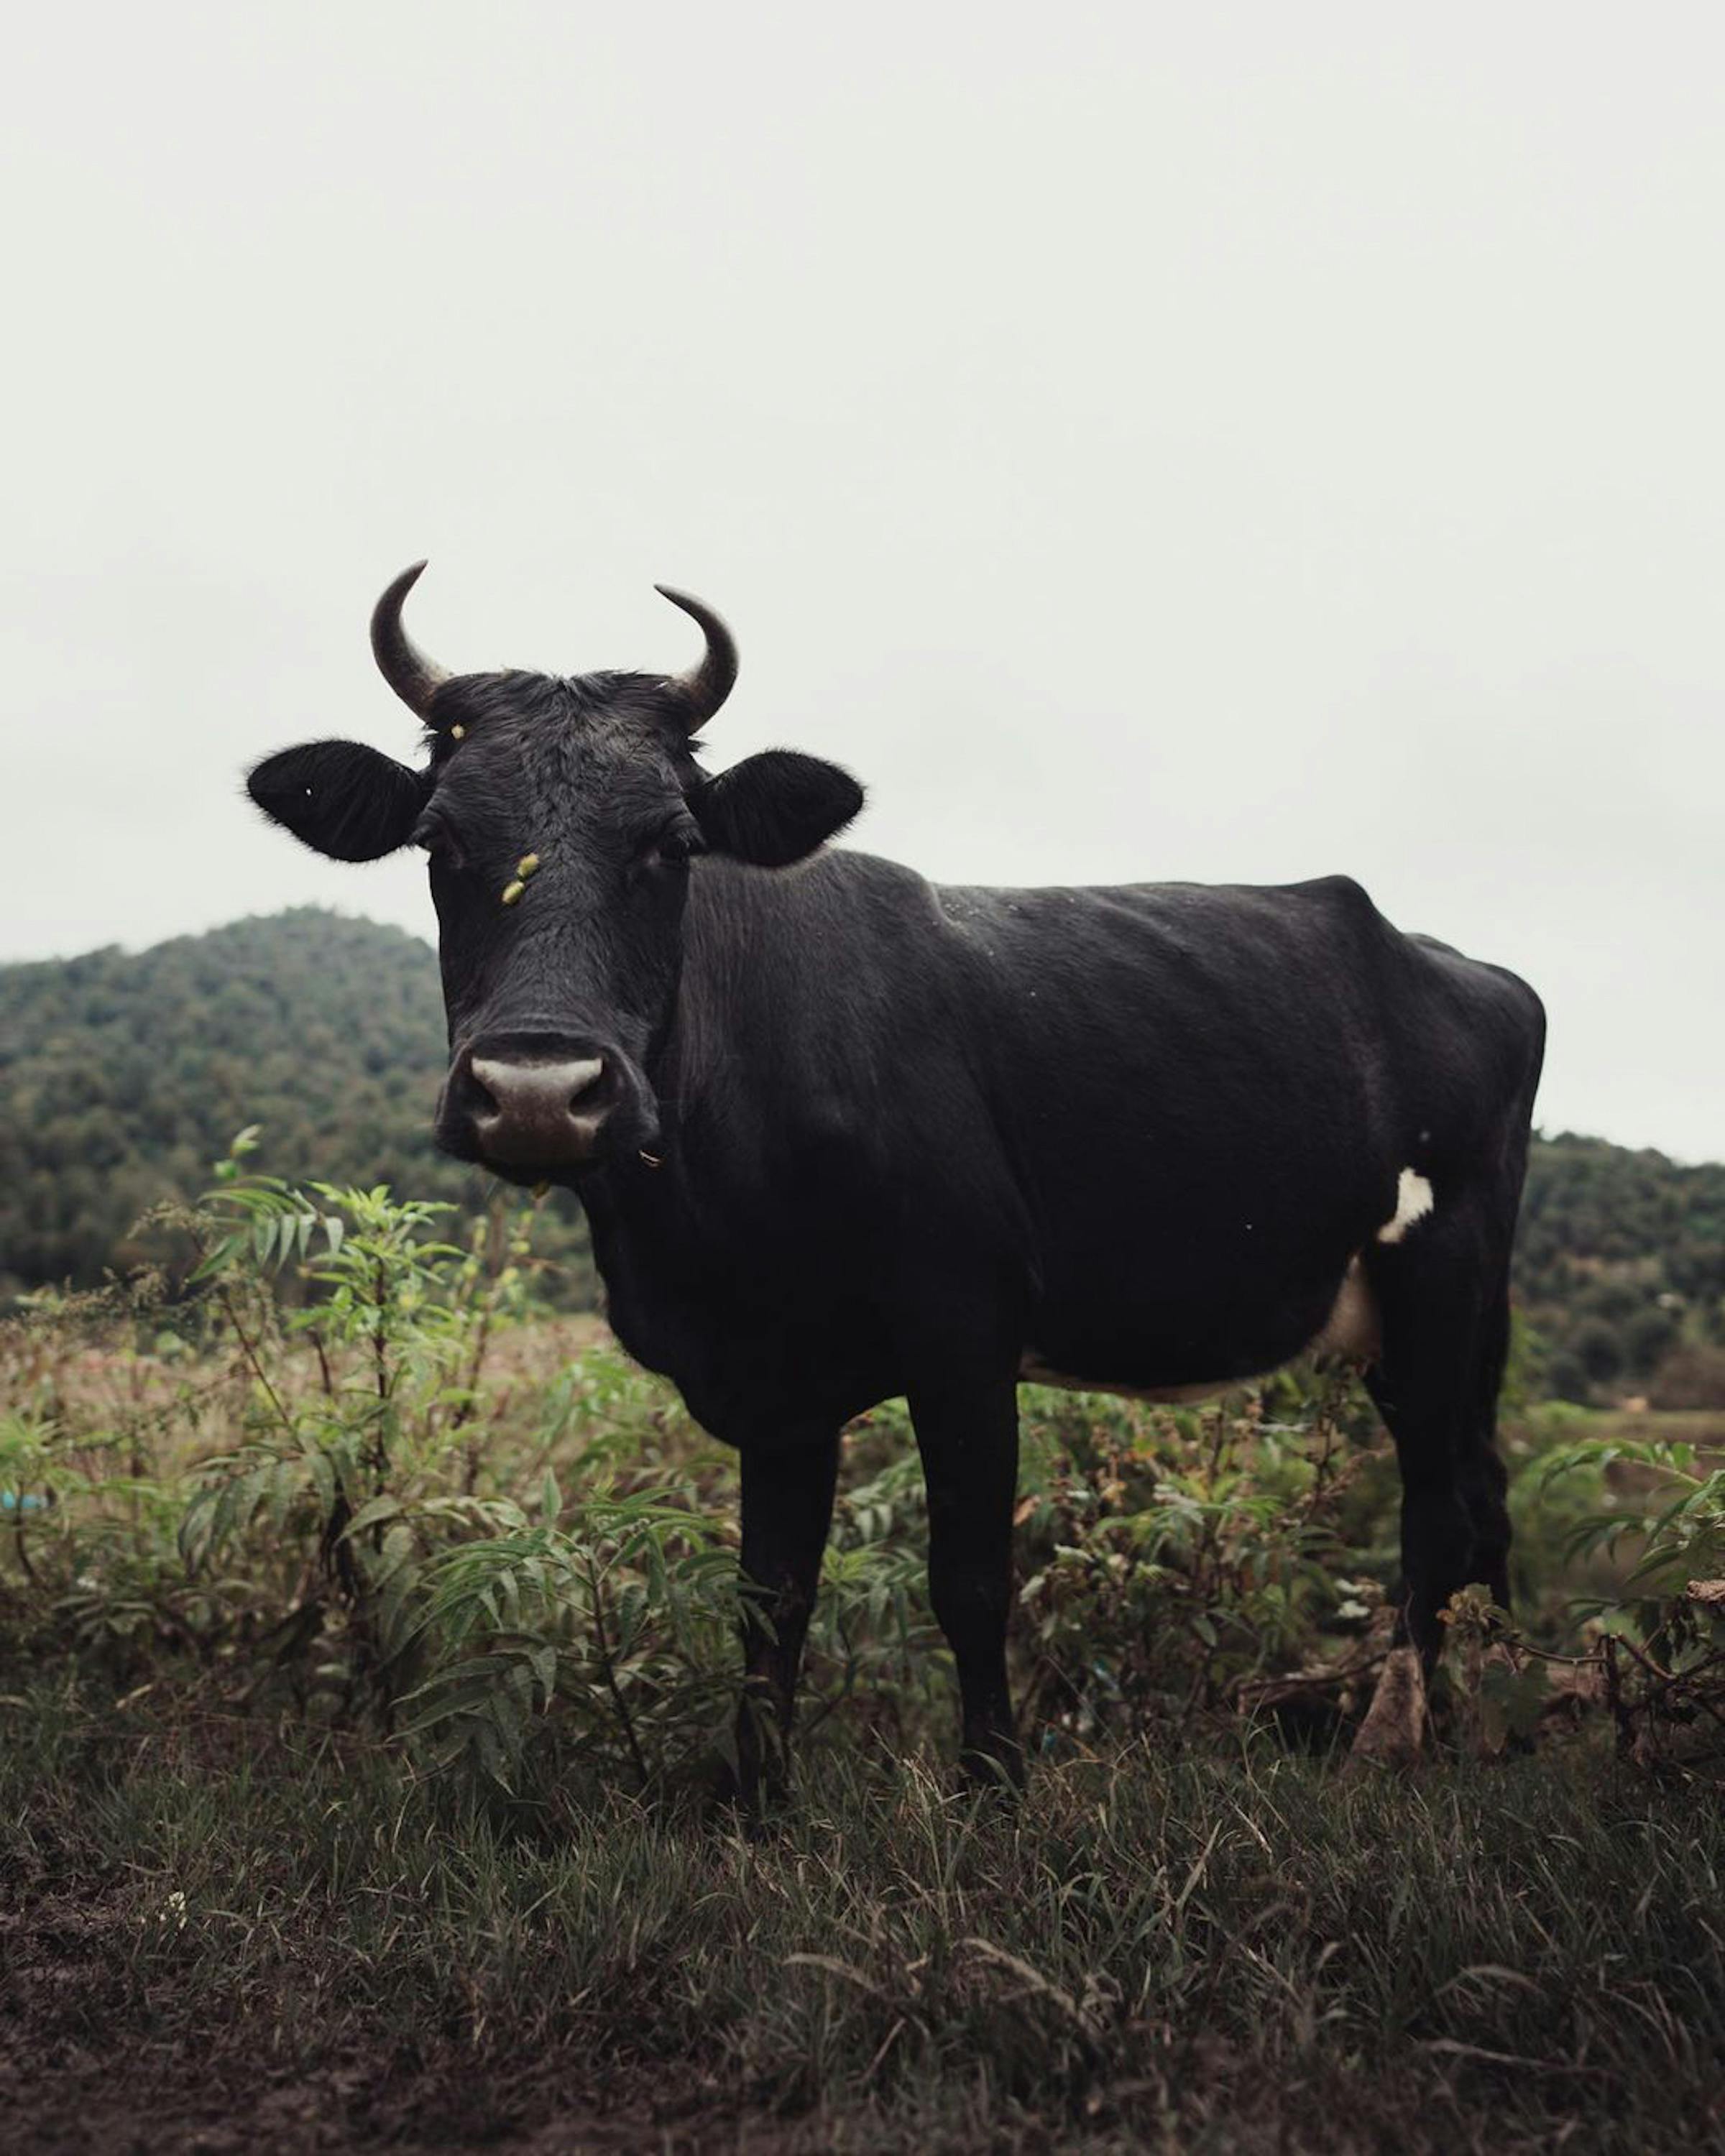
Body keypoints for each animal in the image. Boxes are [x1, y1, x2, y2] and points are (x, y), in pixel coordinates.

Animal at [247, 564, 1546, 1795]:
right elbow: (769, 1595)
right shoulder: (775, 1382)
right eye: (438, 842)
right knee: (1487, 1495)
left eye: (672, 842)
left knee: (1440, 1512)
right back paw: (1501, 1724)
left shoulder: (965, 1321)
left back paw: (1395, 1736)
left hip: (1441, 1277)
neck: (697, 1242)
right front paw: (754, 1799)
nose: (535, 1089)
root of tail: (1464, 967)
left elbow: (968, 1576)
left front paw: (993, 1791)